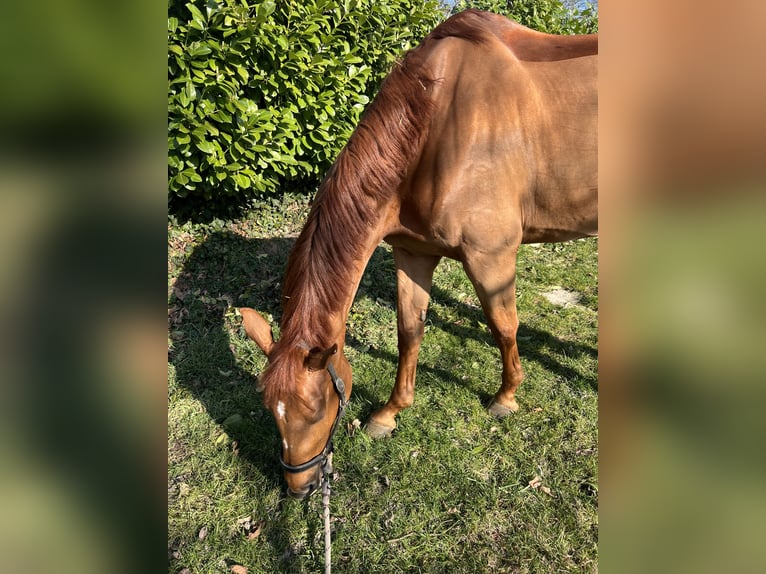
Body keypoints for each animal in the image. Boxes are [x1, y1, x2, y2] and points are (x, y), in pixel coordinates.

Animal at [240, 9, 597, 498]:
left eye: (316, 409)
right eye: (270, 409)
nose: (301, 488)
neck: (435, 123)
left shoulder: (491, 257)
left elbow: (503, 326)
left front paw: (506, 398)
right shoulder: (413, 253)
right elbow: (410, 331)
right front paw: (390, 413)